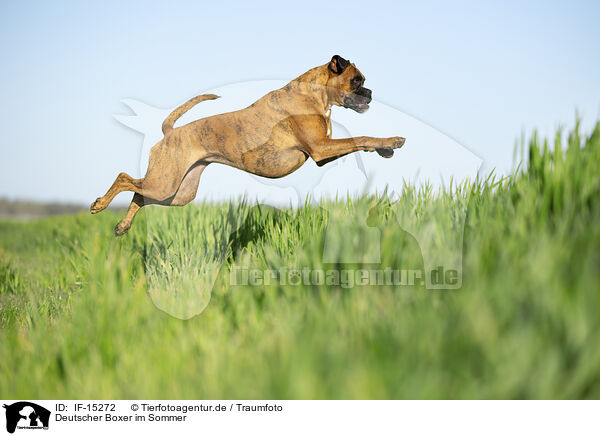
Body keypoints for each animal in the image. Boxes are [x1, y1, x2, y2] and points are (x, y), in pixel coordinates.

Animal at [90, 54, 404, 235]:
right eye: (356, 81)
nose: (370, 93)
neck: (315, 94)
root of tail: (171, 133)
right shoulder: (321, 148)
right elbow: (361, 137)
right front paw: (392, 141)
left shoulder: (324, 152)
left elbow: (360, 142)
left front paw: (385, 149)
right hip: (165, 184)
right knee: (124, 178)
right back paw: (99, 204)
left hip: (176, 193)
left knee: (138, 193)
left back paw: (122, 225)